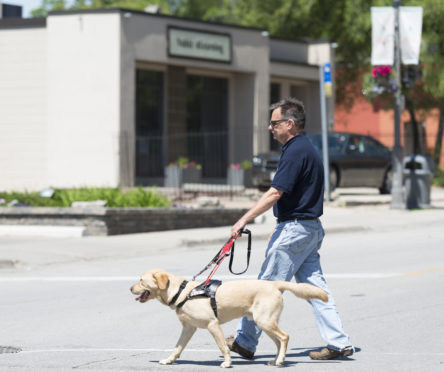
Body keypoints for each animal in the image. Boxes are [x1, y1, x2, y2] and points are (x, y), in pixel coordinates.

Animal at [130, 268, 328, 368]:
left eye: (141, 280)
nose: (130, 288)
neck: (182, 292)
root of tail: (273, 284)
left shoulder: (213, 324)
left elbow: (223, 346)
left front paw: (227, 362)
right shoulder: (188, 328)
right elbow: (177, 348)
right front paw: (169, 361)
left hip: (264, 321)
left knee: (285, 337)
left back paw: (280, 361)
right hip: (265, 323)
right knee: (279, 342)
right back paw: (276, 360)